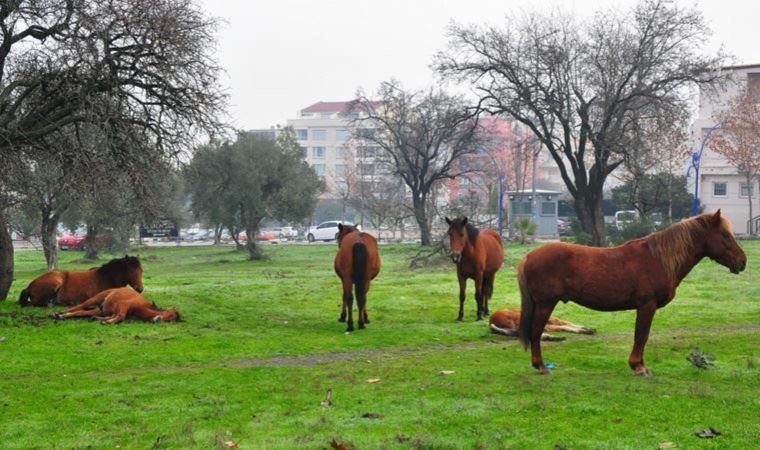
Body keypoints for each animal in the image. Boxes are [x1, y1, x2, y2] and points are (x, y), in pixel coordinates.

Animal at [520, 211, 744, 376]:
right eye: (725, 235)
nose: (742, 262)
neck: (658, 259)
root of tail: (529, 256)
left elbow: (642, 336)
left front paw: (640, 365)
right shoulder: (647, 305)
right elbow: (641, 336)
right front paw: (638, 367)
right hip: (546, 304)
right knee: (536, 331)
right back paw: (540, 366)